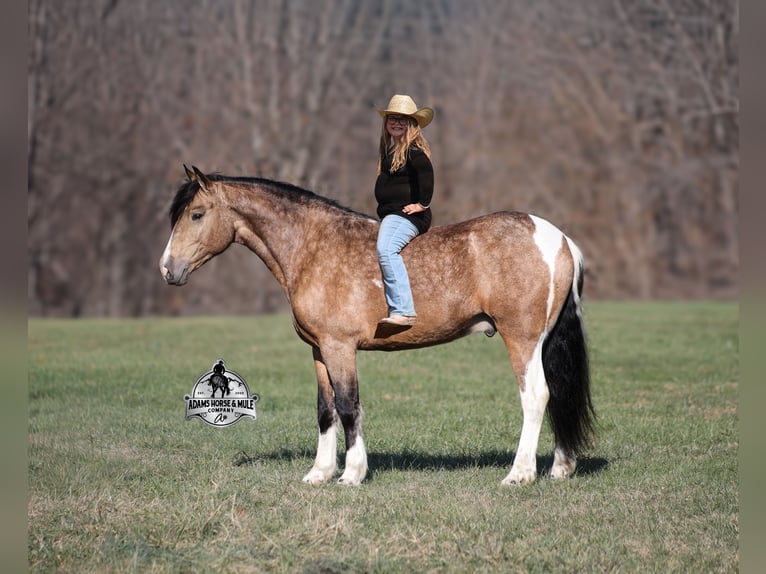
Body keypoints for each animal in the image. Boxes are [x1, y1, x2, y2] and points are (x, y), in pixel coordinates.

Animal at [159, 165, 594, 486]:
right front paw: (319, 473)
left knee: (536, 396)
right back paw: (560, 467)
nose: (167, 269)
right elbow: (326, 410)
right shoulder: (319, 350)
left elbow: (349, 407)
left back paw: (519, 475)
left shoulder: (340, 348)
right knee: (557, 392)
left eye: (196, 214)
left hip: (521, 339)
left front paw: (351, 474)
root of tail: (558, 239)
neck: (315, 247)